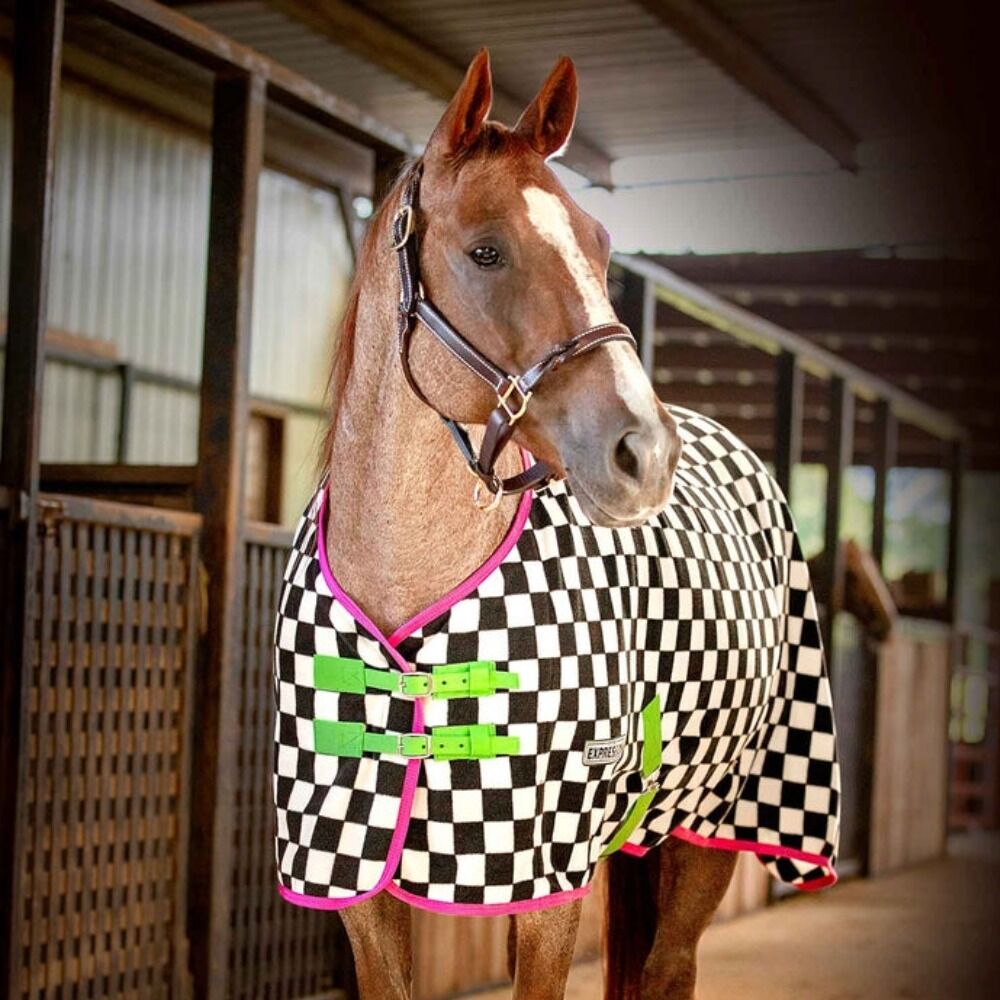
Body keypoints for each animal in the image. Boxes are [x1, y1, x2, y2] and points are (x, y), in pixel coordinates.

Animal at [273, 49, 838, 1000]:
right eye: (486, 250)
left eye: (602, 247)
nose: (645, 450)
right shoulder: (352, 875)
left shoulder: (543, 885)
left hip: (718, 822)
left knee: (669, 968)